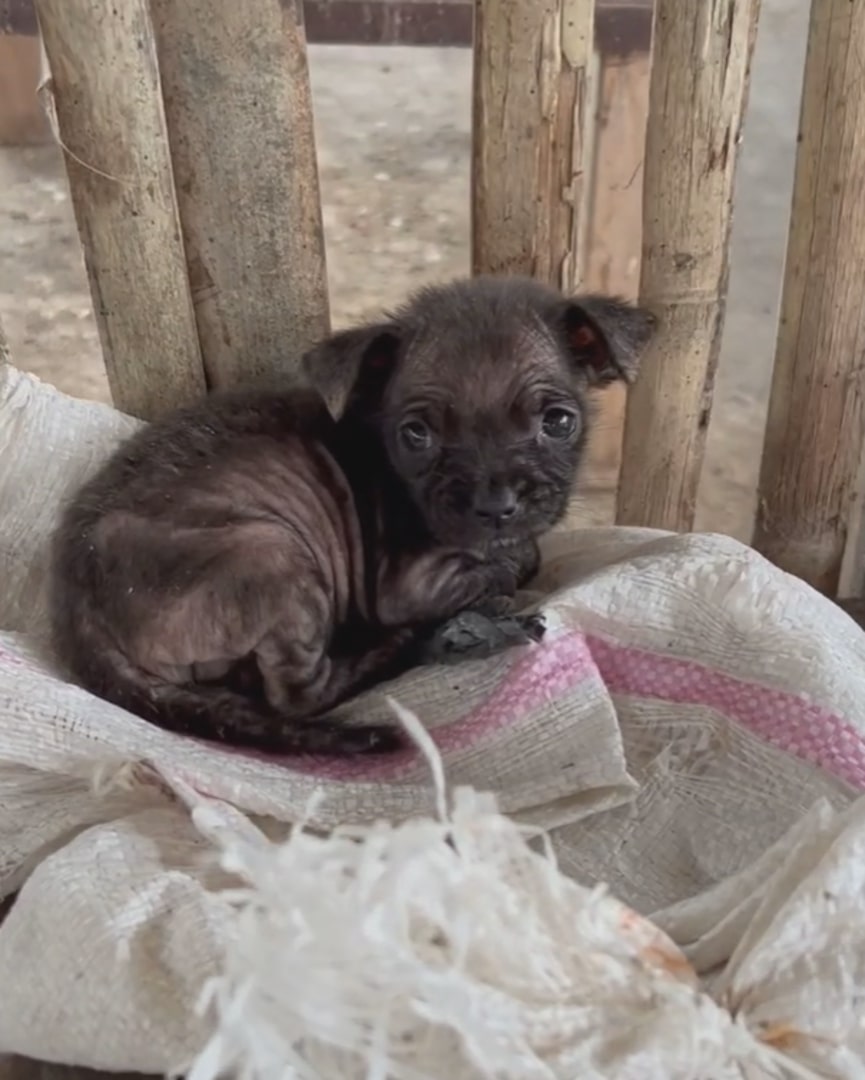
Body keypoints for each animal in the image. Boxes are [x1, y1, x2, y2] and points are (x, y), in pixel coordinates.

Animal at [48, 274, 656, 756]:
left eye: (558, 421)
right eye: (417, 434)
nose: (496, 506)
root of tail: (78, 618)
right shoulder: (407, 584)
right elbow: (516, 562)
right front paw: (495, 581)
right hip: (275, 555)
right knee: (297, 696)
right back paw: (433, 638)